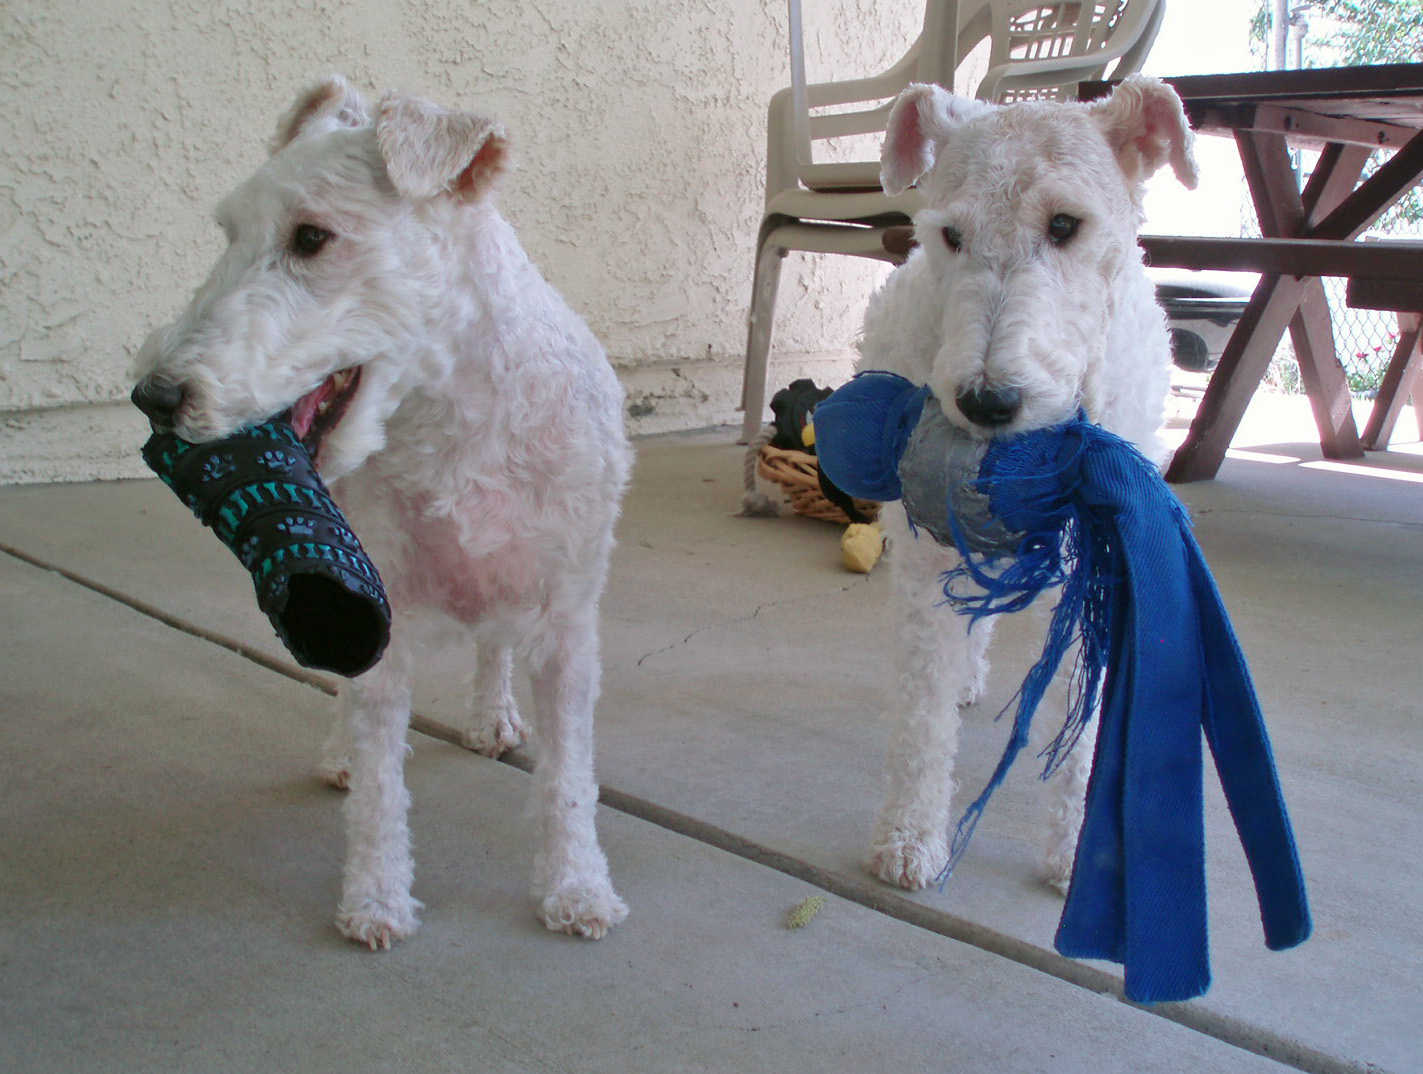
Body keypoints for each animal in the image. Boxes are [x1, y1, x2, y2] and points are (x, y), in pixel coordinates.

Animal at [130, 77, 631, 950]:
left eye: (312, 236)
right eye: (229, 232)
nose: (154, 397)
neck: (457, 419)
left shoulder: (565, 620)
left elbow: (568, 780)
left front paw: (576, 891)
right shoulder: (379, 612)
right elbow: (379, 787)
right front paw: (374, 900)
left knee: (493, 649)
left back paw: (492, 716)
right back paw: (342, 754)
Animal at [859, 75, 1195, 893]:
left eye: (1066, 224)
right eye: (950, 235)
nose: (987, 403)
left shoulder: (1109, 574)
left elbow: (1087, 732)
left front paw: (1083, 854)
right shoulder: (926, 557)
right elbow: (922, 713)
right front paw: (910, 839)